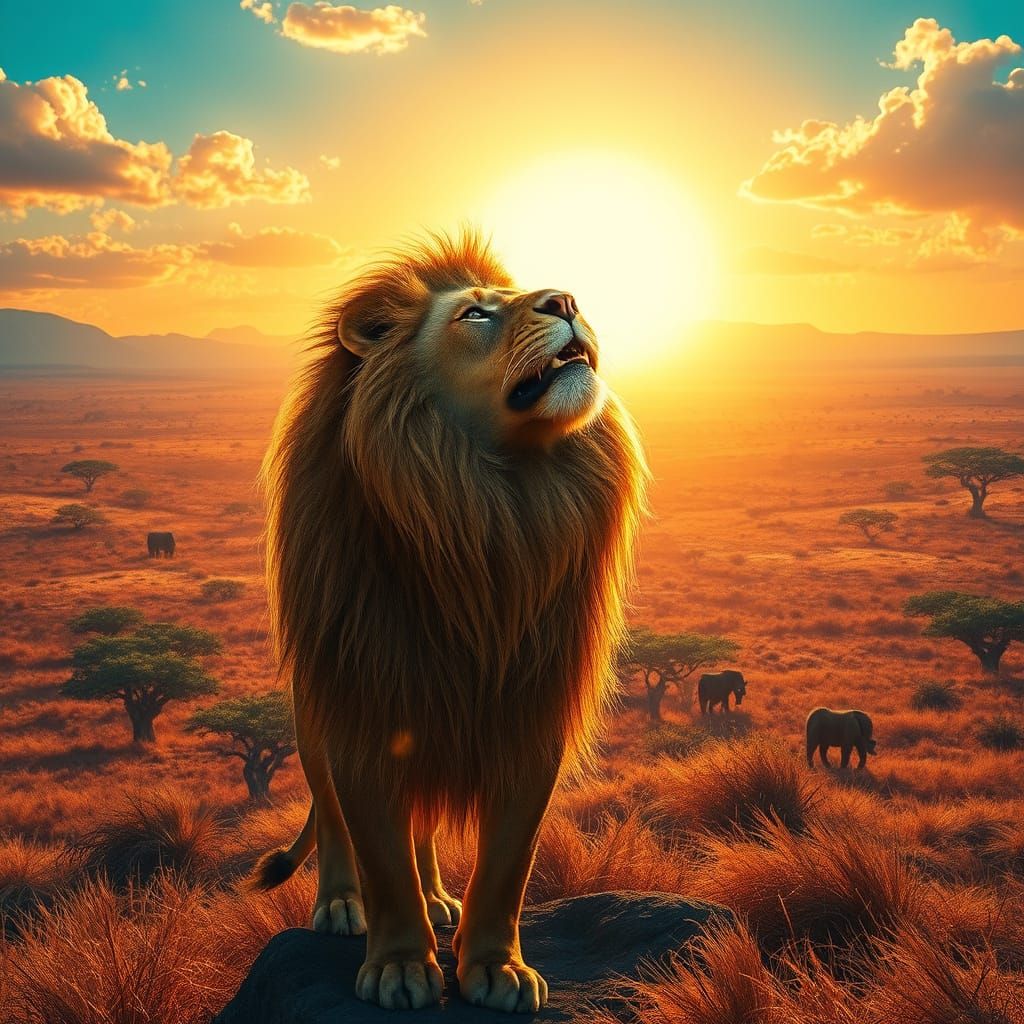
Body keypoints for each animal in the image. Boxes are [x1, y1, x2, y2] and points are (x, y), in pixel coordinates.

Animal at [250, 232, 647, 1013]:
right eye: (475, 315)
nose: (568, 300)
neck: (491, 507)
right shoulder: (366, 704)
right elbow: (379, 853)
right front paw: (400, 966)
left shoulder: (529, 714)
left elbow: (506, 866)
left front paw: (496, 968)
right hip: (319, 710)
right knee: (335, 820)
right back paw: (341, 904)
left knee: (425, 822)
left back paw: (437, 896)